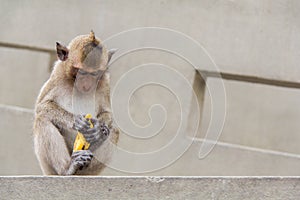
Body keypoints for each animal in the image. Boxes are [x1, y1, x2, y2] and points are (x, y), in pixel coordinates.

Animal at [33, 30, 119, 175]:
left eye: (95, 73)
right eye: (81, 71)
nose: (86, 84)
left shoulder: (105, 81)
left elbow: (106, 112)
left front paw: (98, 130)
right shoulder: (58, 74)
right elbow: (42, 106)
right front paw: (76, 121)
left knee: (114, 131)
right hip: (48, 169)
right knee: (42, 119)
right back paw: (67, 169)